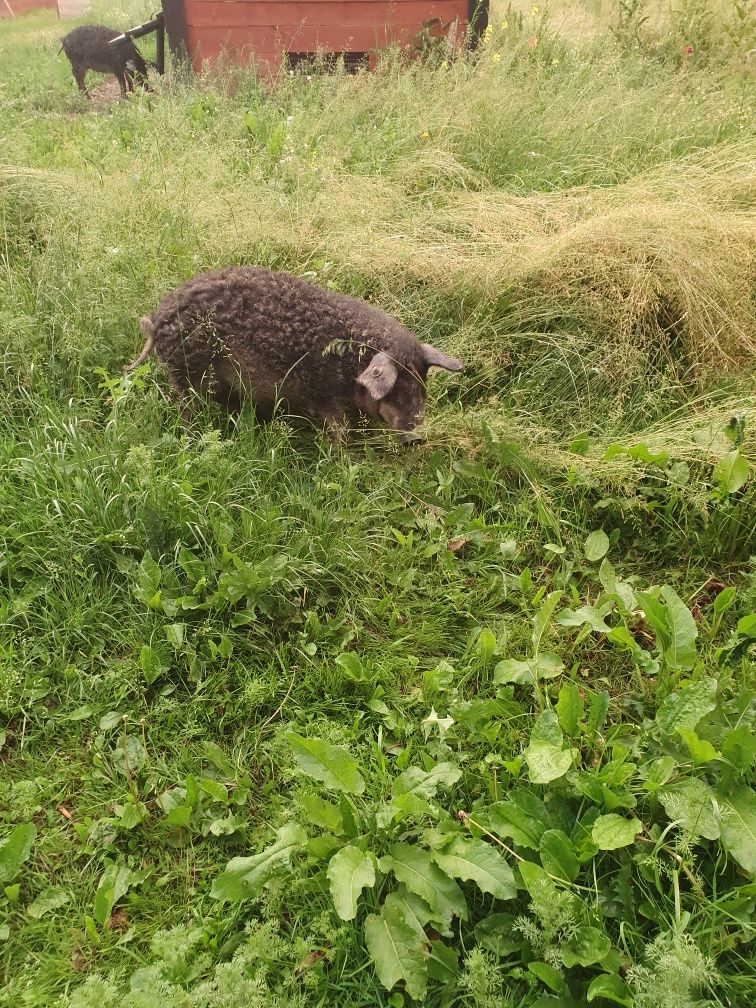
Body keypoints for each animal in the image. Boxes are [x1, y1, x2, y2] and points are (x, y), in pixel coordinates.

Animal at [127, 266, 465, 435]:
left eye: (421, 385)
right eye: (396, 387)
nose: (415, 430)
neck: (349, 365)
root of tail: (156, 322)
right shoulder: (324, 396)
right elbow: (339, 433)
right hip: (188, 375)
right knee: (186, 409)